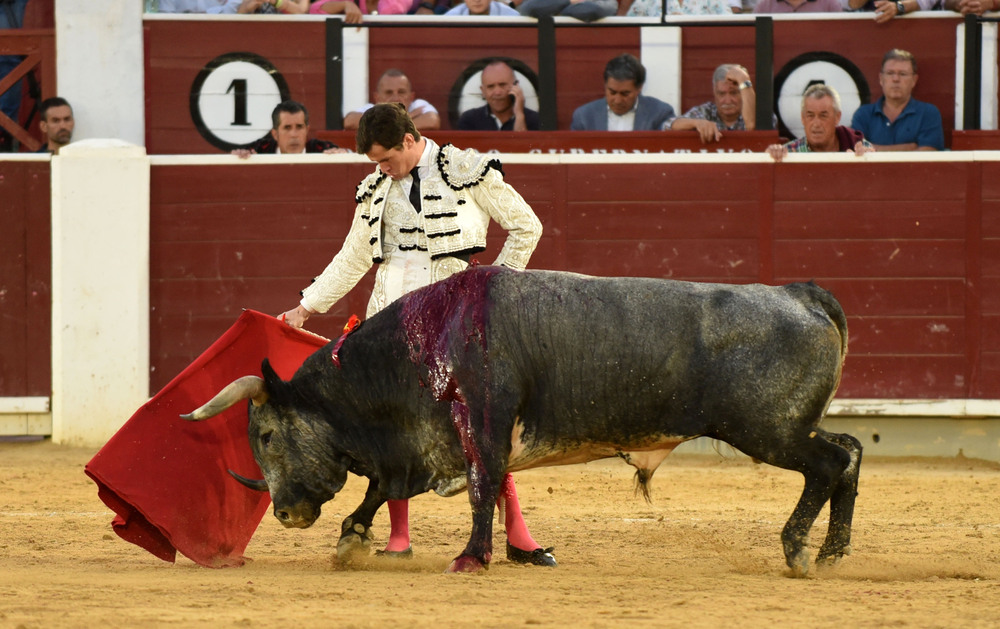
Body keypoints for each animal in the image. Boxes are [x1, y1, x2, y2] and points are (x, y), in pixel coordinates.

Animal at [186, 264, 860, 576]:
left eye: (266, 435)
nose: (285, 514)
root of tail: (799, 294)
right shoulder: (424, 443)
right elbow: (382, 486)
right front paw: (353, 537)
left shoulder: (479, 423)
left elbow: (481, 487)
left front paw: (471, 557)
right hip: (785, 429)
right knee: (849, 450)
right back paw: (831, 553)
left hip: (768, 430)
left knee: (829, 463)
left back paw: (798, 549)